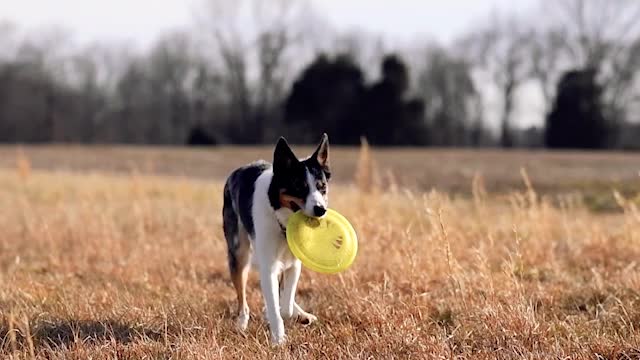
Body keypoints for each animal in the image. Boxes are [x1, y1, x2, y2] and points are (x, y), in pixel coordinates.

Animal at [221, 134, 330, 344]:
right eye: (299, 187)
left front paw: (291, 314)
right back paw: (242, 323)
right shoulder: (268, 266)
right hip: (238, 253)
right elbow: (275, 306)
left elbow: (285, 302)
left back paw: (301, 314)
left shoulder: (294, 264)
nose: (321, 209)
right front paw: (278, 340)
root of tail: (237, 172)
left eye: (322, 188)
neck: (283, 223)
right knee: (242, 298)